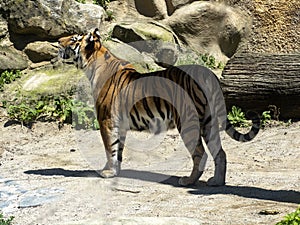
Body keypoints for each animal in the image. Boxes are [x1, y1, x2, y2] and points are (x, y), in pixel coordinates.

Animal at [58, 28, 260, 186]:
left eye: (74, 39)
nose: (58, 41)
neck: (93, 63)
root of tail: (207, 73)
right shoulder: (119, 123)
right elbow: (119, 149)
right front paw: (116, 171)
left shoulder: (106, 120)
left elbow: (110, 148)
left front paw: (107, 172)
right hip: (208, 121)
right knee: (220, 152)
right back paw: (217, 181)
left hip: (188, 123)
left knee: (200, 154)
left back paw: (188, 181)